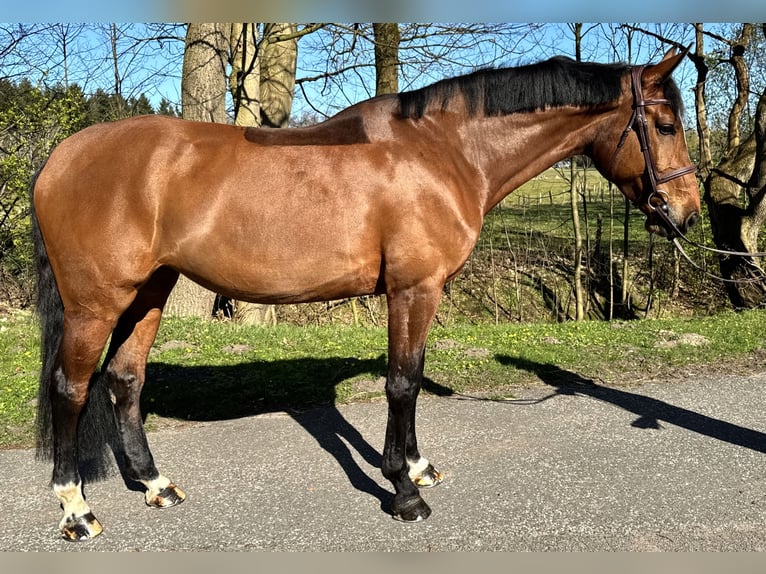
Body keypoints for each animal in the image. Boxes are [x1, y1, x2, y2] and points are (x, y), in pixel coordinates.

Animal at [30, 47, 699, 541]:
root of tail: (59, 157)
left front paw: (418, 468)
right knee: (72, 387)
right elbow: (401, 383)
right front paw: (402, 491)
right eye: (665, 125)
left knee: (125, 379)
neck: (444, 152)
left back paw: (154, 484)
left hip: (151, 289)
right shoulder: (413, 289)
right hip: (96, 303)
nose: (687, 213)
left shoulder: (419, 292)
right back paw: (76, 509)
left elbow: (412, 376)